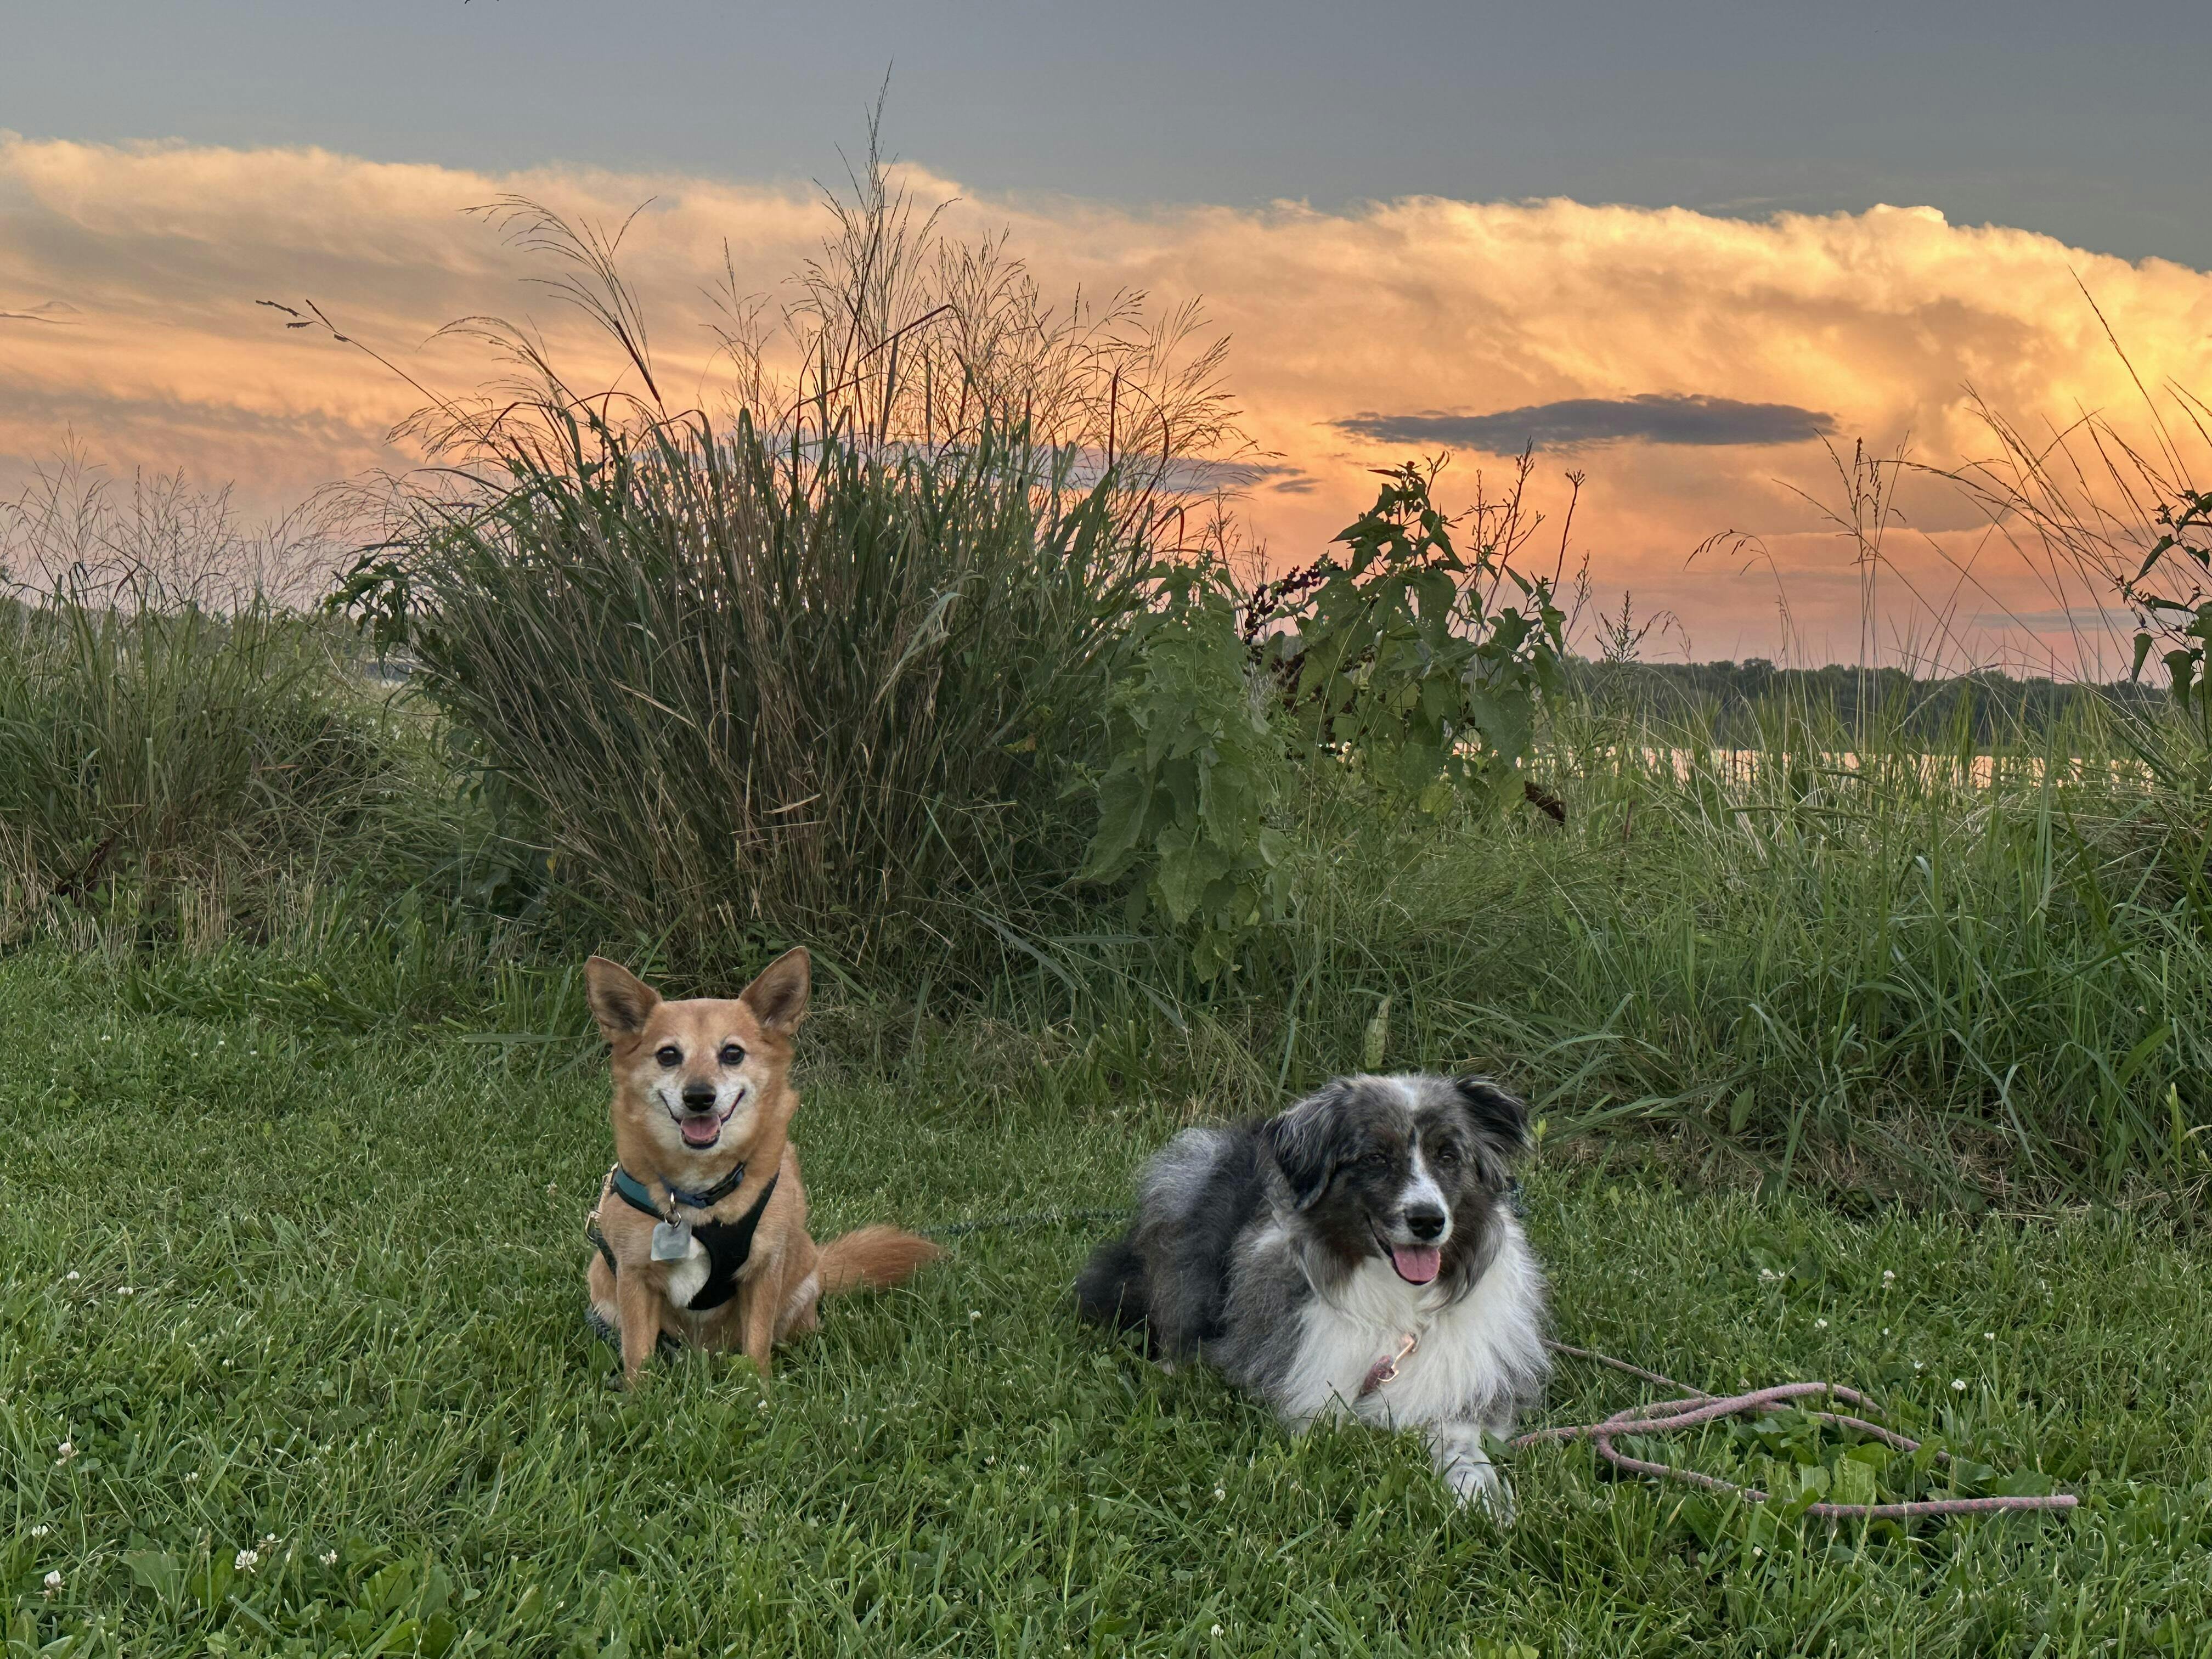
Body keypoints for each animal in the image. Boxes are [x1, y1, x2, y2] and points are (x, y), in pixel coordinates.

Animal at [582, 948, 939, 1387]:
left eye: (732, 1053)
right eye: (668, 1055)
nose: (699, 1097)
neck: (701, 1196)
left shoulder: (764, 1270)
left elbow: (756, 1345)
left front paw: (759, 1392)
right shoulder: (633, 1277)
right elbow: (637, 1354)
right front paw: (638, 1396)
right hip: (603, 1281)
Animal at [1076, 1073, 1547, 1513]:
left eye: (1448, 1156)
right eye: (1375, 1158)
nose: (1428, 1221)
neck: (1397, 1306)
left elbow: (1460, 1440)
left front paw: (1480, 1493)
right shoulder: (1313, 1398)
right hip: (1181, 1187)